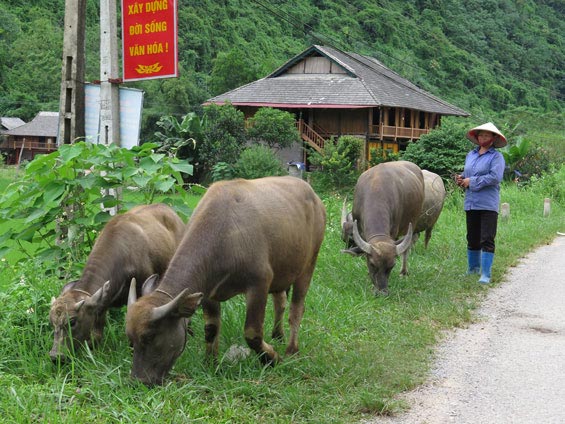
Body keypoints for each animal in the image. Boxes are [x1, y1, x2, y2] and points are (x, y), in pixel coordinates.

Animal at [125, 176, 324, 388]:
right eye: (130, 339)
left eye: (149, 336)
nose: (139, 380)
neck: (225, 236)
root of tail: (313, 196)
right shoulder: (208, 292)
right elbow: (211, 329)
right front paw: (210, 362)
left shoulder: (259, 283)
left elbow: (252, 333)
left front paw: (272, 358)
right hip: (282, 271)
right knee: (280, 301)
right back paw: (277, 335)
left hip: (309, 264)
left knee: (296, 309)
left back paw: (291, 349)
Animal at [340, 161, 424, 296]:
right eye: (372, 264)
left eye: (392, 266)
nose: (382, 292)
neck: (376, 188)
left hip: (413, 220)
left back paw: (404, 272)